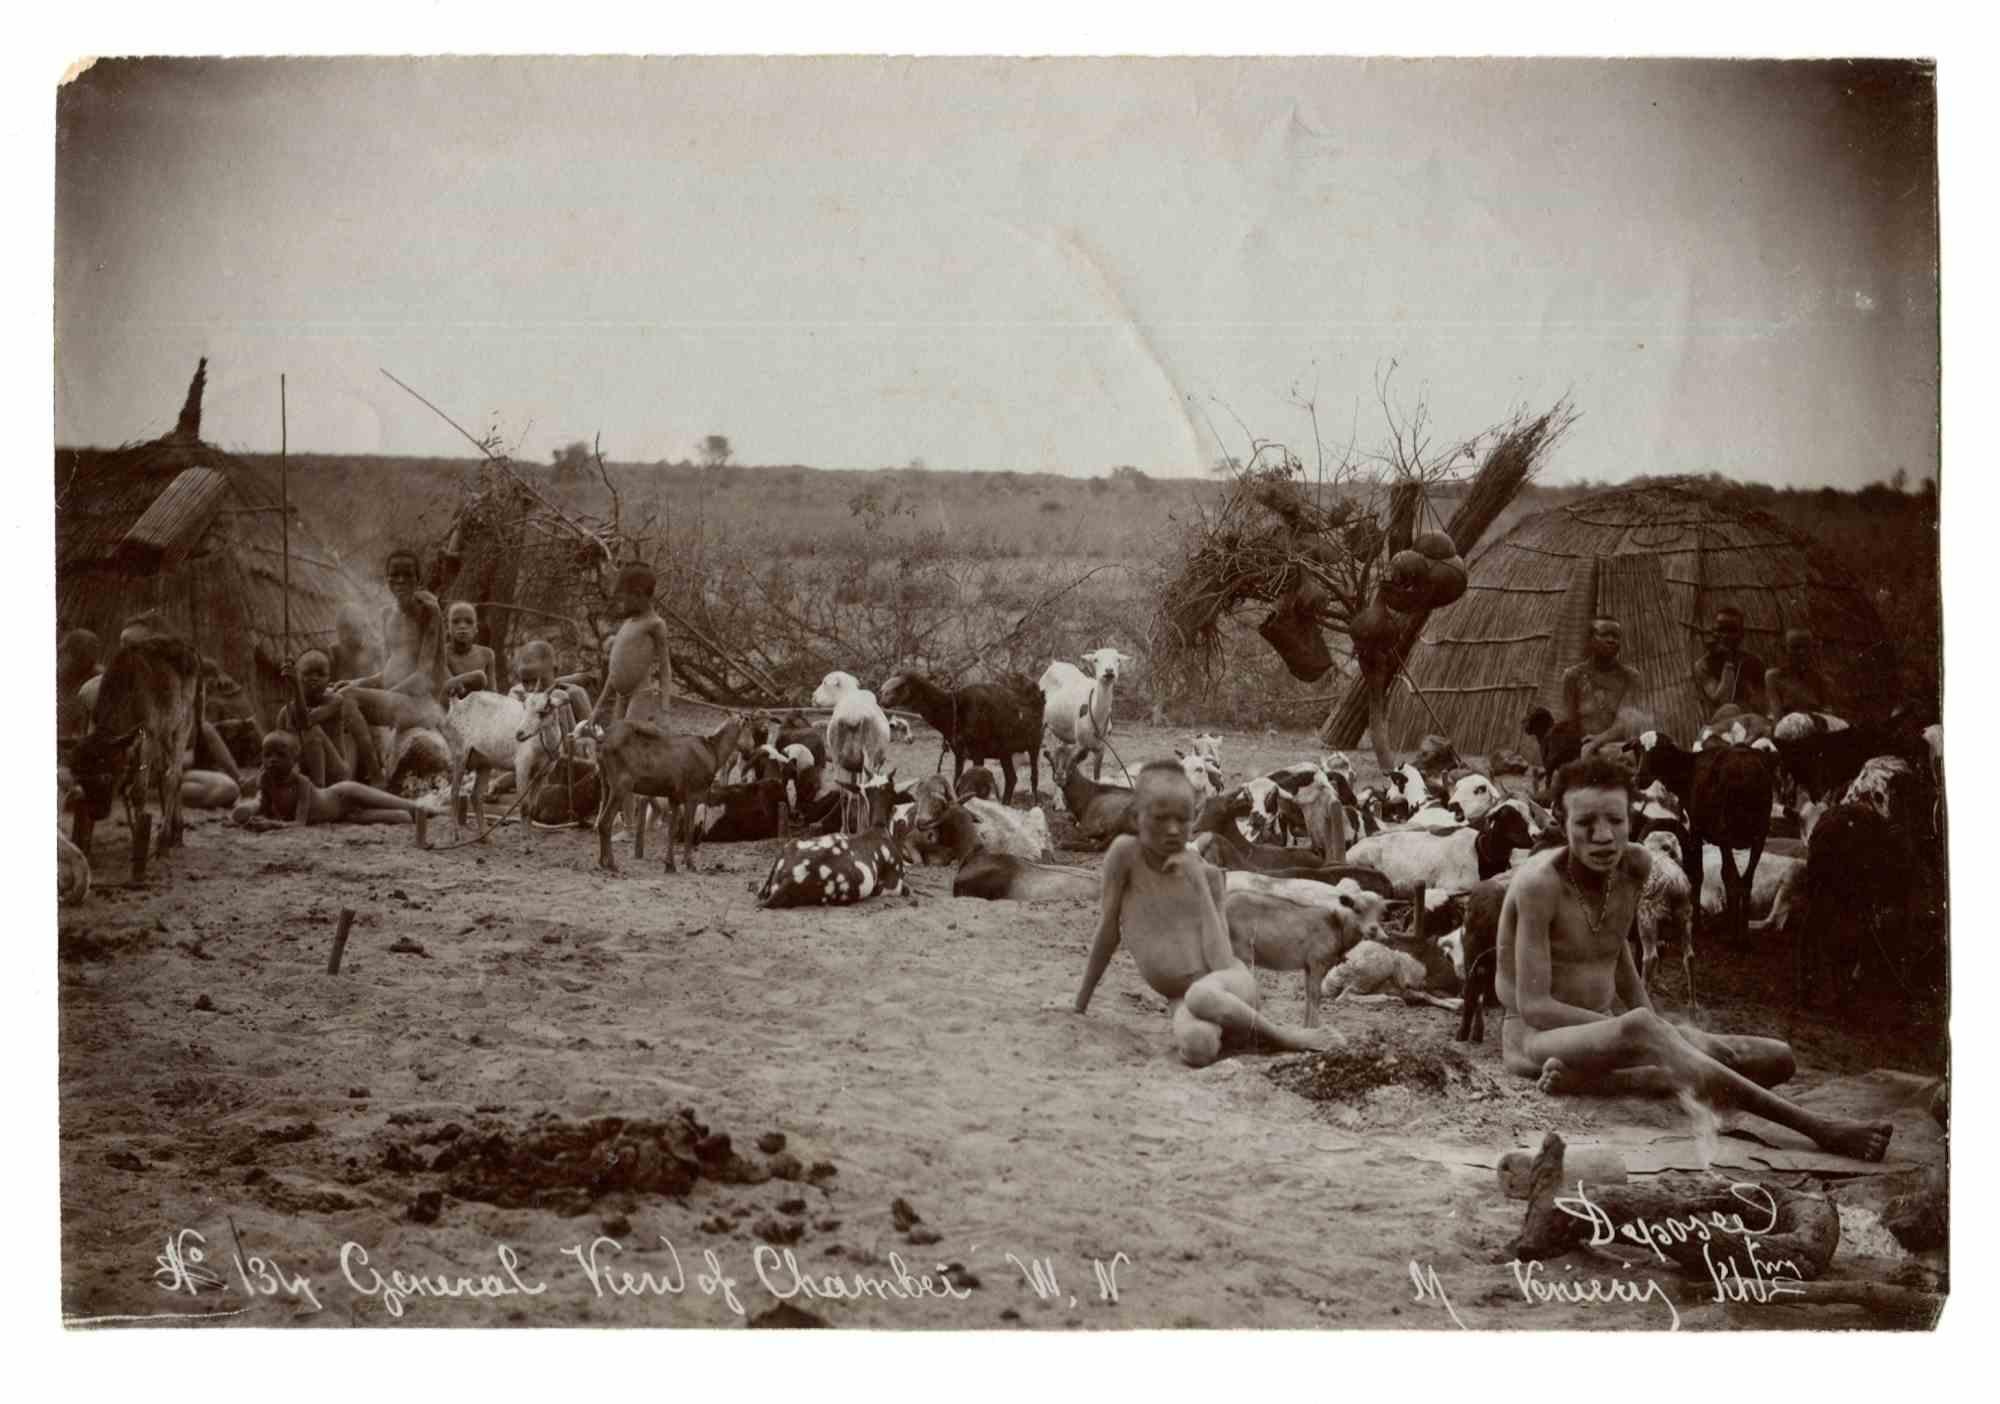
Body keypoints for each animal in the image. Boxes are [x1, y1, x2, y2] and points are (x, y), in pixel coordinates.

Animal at [888, 668, 1048, 804]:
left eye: (900, 686)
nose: (883, 698)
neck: (954, 709)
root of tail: (1038, 693)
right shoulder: (959, 753)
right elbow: (956, 782)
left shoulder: (978, 752)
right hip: (1005, 752)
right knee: (1011, 778)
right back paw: (1005, 804)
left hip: (1034, 744)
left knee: (1034, 777)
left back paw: (1035, 803)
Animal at [1040, 652, 1136, 788]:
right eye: (1096, 659)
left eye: (1118, 660)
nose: (1109, 671)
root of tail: (1055, 663)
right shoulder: (1080, 745)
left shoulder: (1101, 748)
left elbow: (1097, 778)